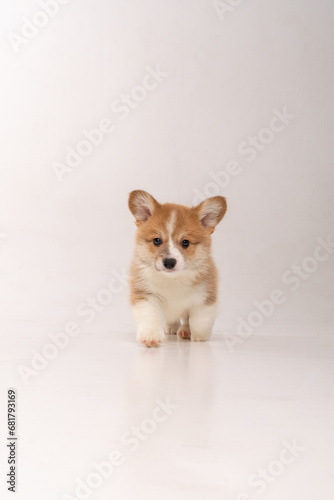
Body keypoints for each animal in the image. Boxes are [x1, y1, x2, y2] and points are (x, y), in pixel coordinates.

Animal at [128, 190, 227, 348]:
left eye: (185, 242)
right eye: (157, 240)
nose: (169, 262)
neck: (172, 279)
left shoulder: (205, 296)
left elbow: (200, 321)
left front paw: (199, 337)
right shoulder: (146, 295)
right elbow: (150, 316)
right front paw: (151, 337)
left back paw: (185, 331)